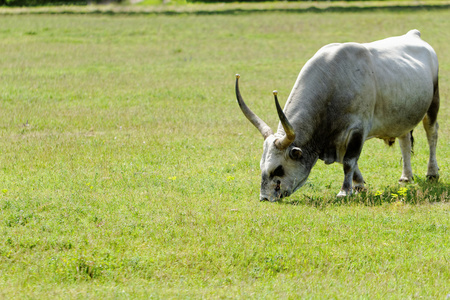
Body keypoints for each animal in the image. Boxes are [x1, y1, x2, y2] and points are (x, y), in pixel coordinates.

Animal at [236, 29, 440, 202]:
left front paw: (344, 191)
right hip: (402, 115)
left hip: (433, 104)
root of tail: (413, 34)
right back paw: (406, 176)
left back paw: (432, 173)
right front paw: (358, 185)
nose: (264, 198)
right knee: (404, 140)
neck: (332, 84)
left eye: (278, 169)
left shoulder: (357, 129)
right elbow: (349, 162)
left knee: (432, 134)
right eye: (262, 167)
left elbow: (349, 161)